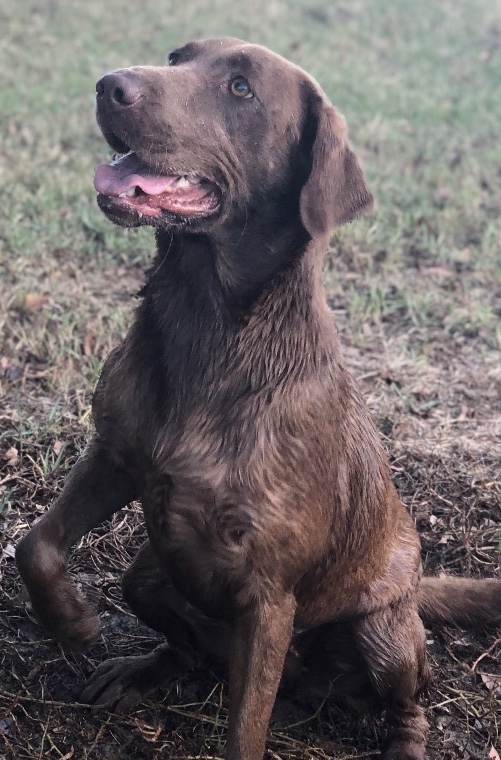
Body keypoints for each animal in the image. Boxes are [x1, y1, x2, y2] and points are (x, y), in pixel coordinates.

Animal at [15, 38, 500, 760]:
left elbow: (245, 731)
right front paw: (72, 622)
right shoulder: (116, 456)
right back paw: (141, 671)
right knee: (178, 637)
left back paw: (403, 742)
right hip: (152, 574)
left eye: (241, 88)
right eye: (175, 57)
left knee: (410, 699)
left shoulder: (267, 599)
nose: (108, 85)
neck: (207, 329)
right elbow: (36, 545)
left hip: (381, 632)